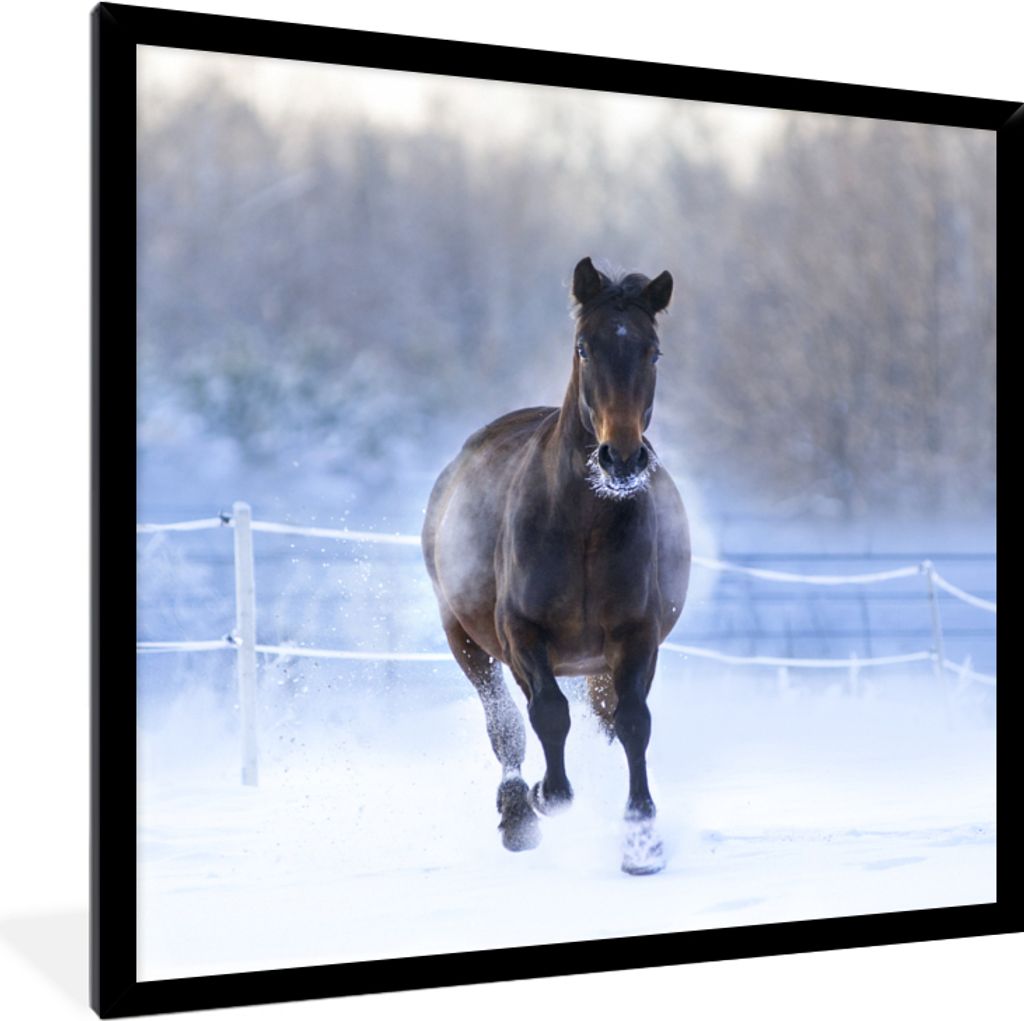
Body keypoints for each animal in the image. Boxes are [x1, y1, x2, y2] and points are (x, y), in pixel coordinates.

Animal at [421, 257, 691, 874]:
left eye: (654, 351)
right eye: (584, 347)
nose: (621, 459)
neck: (583, 526)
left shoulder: (636, 636)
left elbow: (633, 722)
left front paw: (642, 841)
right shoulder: (521, 633)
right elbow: (547, 713)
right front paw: (550, 796)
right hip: (463, 637)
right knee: (504, 723)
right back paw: (518, 813)